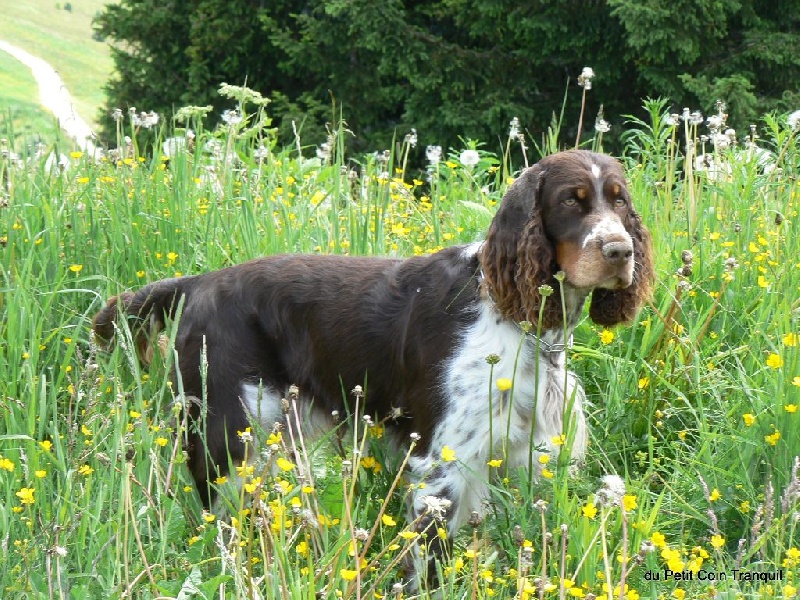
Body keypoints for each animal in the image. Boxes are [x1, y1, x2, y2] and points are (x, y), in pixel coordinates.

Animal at [95, 149, 656, 580]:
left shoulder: (522, 454)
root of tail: (199, 283)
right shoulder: (443, 459)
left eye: (619, 200)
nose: (620, 250)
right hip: (228, 433)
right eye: (570, 201)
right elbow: (429, 555)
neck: (517, 317)